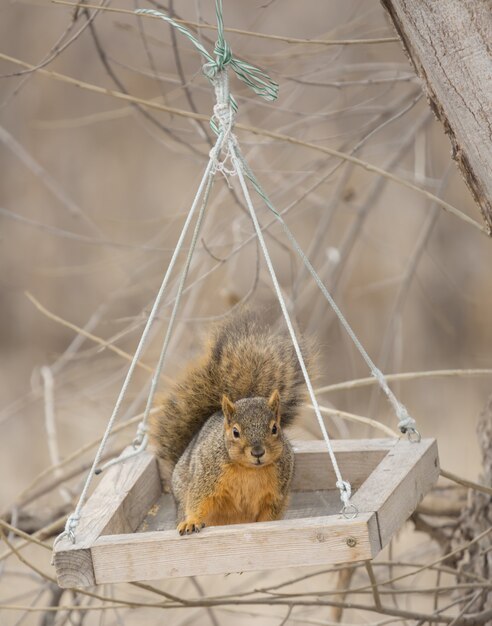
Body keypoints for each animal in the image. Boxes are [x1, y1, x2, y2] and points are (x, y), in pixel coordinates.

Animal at [148, 308, 316, 532]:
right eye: (235, 432)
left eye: (275, 429)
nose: (257, 452)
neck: (250, 470)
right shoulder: (205, 477)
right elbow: (198, 500)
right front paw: (191, 522)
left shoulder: (275, 493)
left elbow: (270, 513)